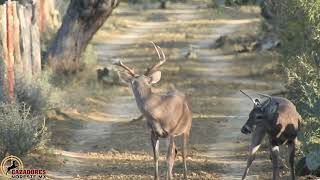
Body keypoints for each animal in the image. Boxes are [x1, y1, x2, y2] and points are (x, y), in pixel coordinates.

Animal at [114, 41, 191, 179]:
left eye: (147, 82)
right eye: (133, 82)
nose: (139, 90)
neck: (157, 113)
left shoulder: (171, 131)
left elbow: (168, 158)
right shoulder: (153, 132)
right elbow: (156, 157)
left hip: (186, 129)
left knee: (183, 153)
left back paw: (185, 176)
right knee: (176, 151)